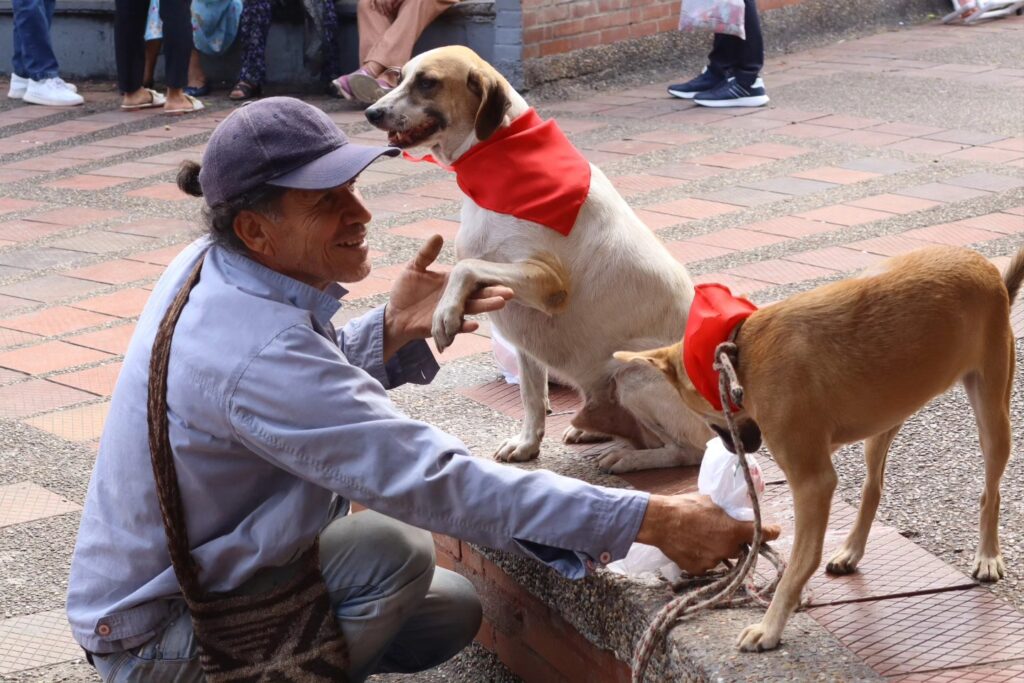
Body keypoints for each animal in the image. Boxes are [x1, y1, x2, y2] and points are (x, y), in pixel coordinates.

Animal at [365, 45, 712, 472]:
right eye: (399, 78)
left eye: (427, 82)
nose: (371, 113)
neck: (496, 159)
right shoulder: (525, 335)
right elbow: (532, 398)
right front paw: (528, 444)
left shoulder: (547, 283)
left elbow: (464, 267)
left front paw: (445, 312)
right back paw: (592, 430)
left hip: (634, 373)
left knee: (693, 449)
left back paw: (629, 458)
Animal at [614, 244, 1024, 651]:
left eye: (701, 414)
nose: (735, 450)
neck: (742, 354)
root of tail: (986, 269)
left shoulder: (812, 482)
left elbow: (802, 559)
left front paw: (772, 624)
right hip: (883, 420)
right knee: (873, 487)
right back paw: (852, 549)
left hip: (993, 418)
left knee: (991, 492)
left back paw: (988, 554)